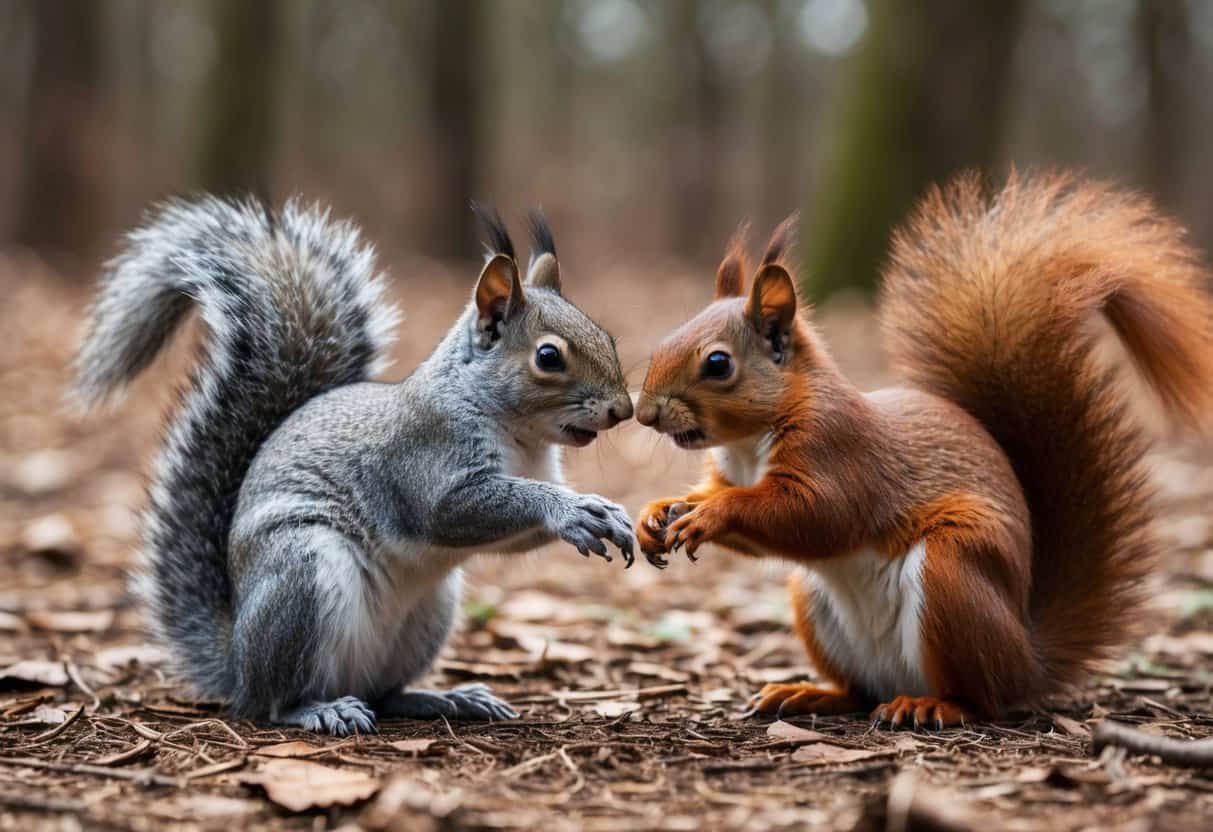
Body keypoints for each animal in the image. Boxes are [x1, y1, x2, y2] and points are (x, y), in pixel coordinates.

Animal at [73, 198, 636, 735]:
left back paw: (443, 698)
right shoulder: (424, 460)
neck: (519, 436)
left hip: (428, 613)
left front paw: (612, 514)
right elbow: (452, 511)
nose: (623, 410)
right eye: (548, 357)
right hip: (301, 575)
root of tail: (237, 662)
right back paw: (320, 710)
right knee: (277, 700)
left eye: (608, 337)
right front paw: (571, 511)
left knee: (383, 694)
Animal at [633, 172, 1213, 729]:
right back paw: (808, 694)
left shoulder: (840, 452)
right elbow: (725, 498)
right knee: (860, 692)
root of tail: (1028, 659)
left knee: (981, 698)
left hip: (951, 576)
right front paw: (656, 514)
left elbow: (817, 515)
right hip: (815, 604)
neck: (749, 443)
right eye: (668, 336)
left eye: (717, 364)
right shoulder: (732, 470)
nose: (644, 414)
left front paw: (709, 516)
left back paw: (935, 706)